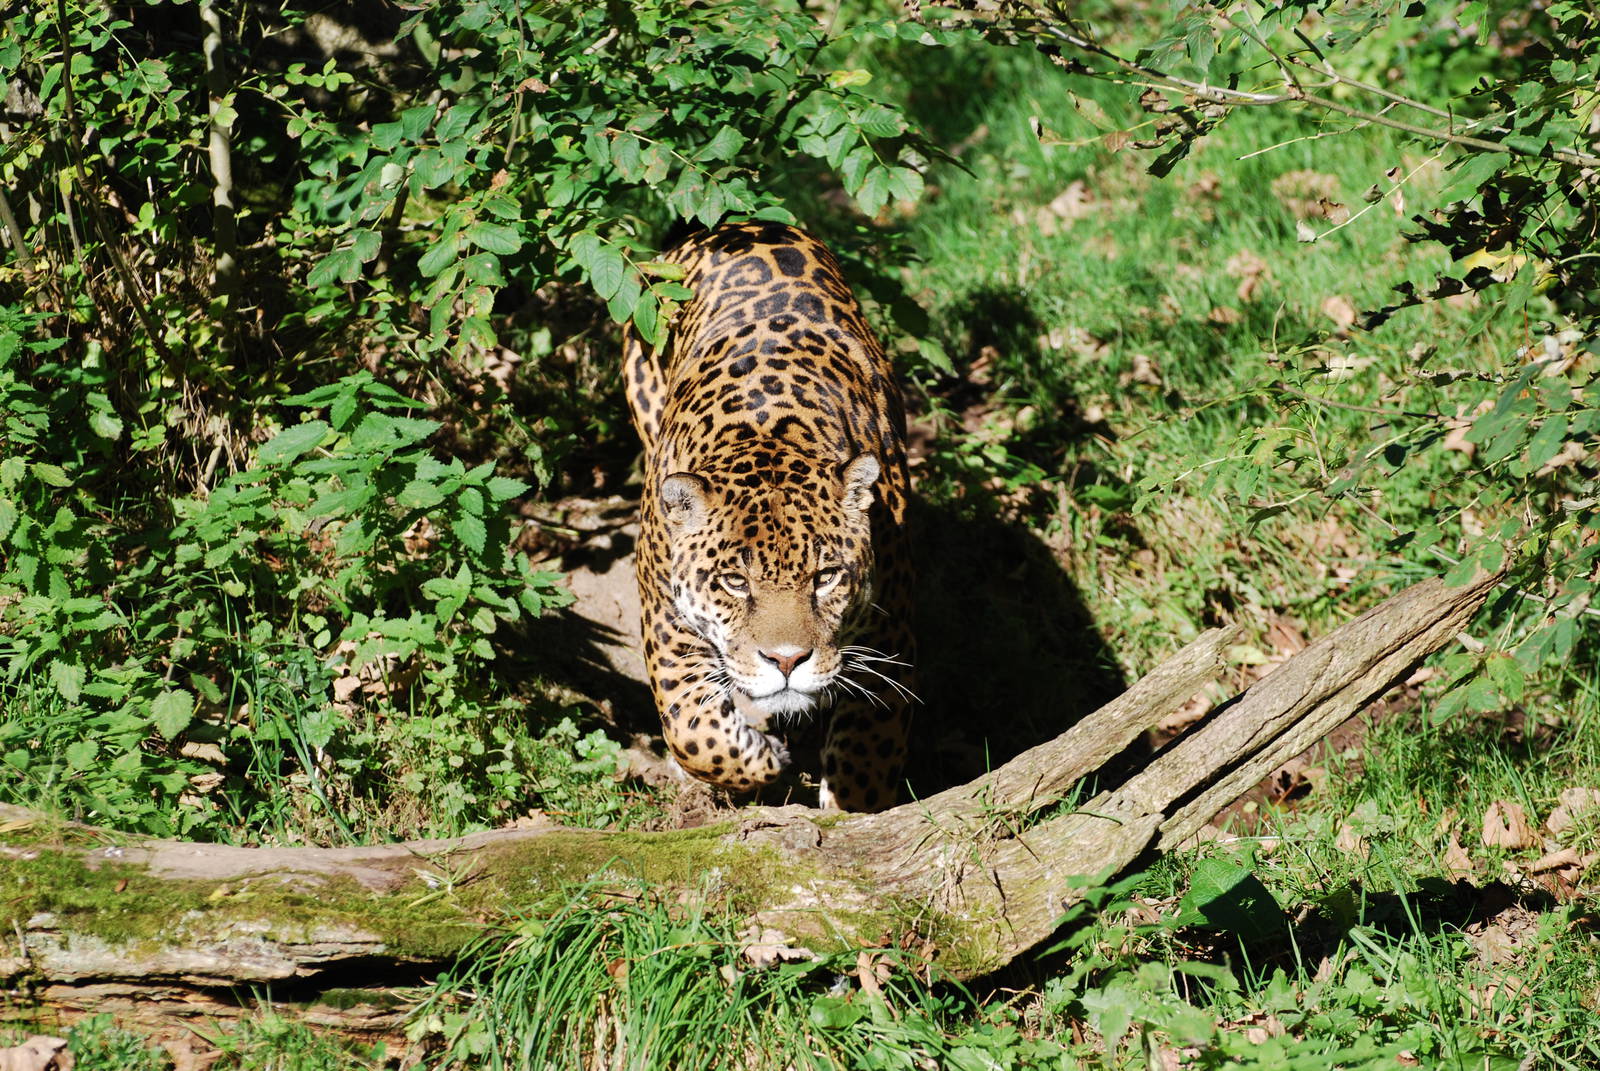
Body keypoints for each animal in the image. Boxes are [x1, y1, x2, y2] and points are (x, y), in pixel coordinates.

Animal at [623, 220, 915, 812]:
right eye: (735, 582)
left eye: (825, 577)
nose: (786, 661)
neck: (771, 435)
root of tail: (737, 226)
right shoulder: (663, 616)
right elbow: (690, 728)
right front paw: (763, 759)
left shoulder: (891, 624)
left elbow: (869, 751)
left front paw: (850, 816)